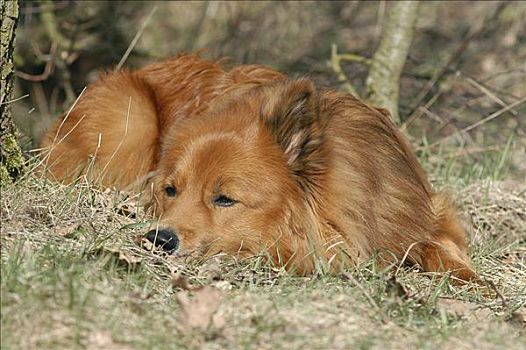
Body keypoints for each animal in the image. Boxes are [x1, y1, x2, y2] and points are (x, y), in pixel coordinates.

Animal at [40, 53, 478, 280]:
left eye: (224, 199)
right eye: (170, 191)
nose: (159, 240)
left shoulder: (423, 214)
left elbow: (442, 246)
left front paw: (475, 284)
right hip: (131, 114)